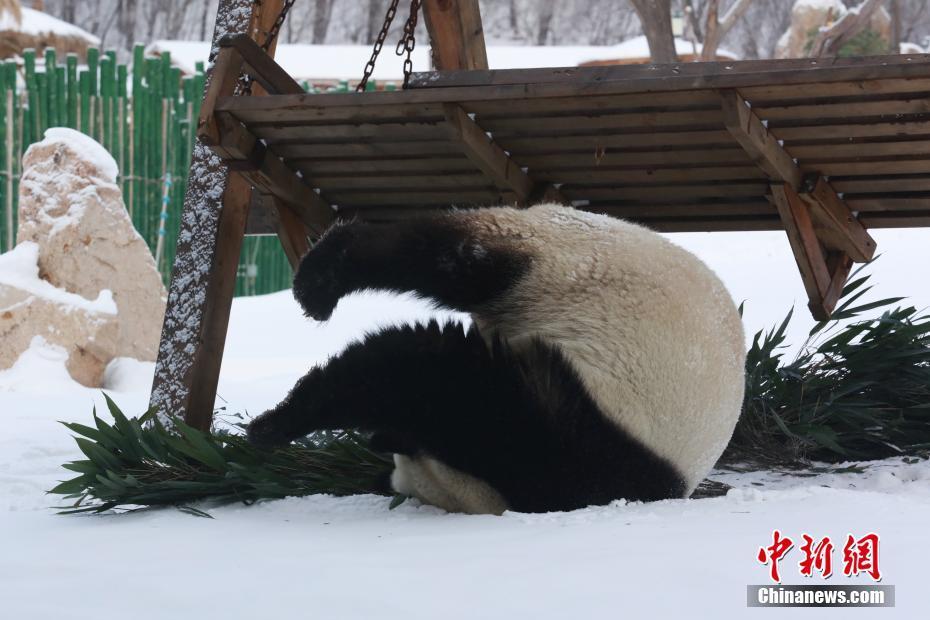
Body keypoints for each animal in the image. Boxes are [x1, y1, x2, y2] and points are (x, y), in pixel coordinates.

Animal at [246, 203, 746, 515]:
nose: (388, 478)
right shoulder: (558, 438)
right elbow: (421, 374)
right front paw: (274, 424)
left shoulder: (554, 445)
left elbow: (419, 371)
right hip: (561, 266)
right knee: (447, 258)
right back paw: (321, 281)